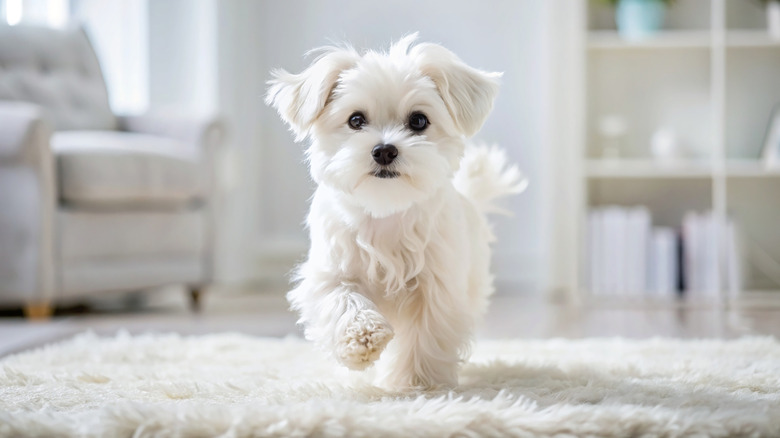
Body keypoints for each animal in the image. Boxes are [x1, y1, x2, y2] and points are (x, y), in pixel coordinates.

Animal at [266, 35, 528, 390]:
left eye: (418, 121)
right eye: (355, 120)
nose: (384, 150)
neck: (385, 210)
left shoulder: (437, 286)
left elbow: (425, 336)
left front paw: (417, 382)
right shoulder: (330, 272)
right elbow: (343, 301)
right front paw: (363, 339)